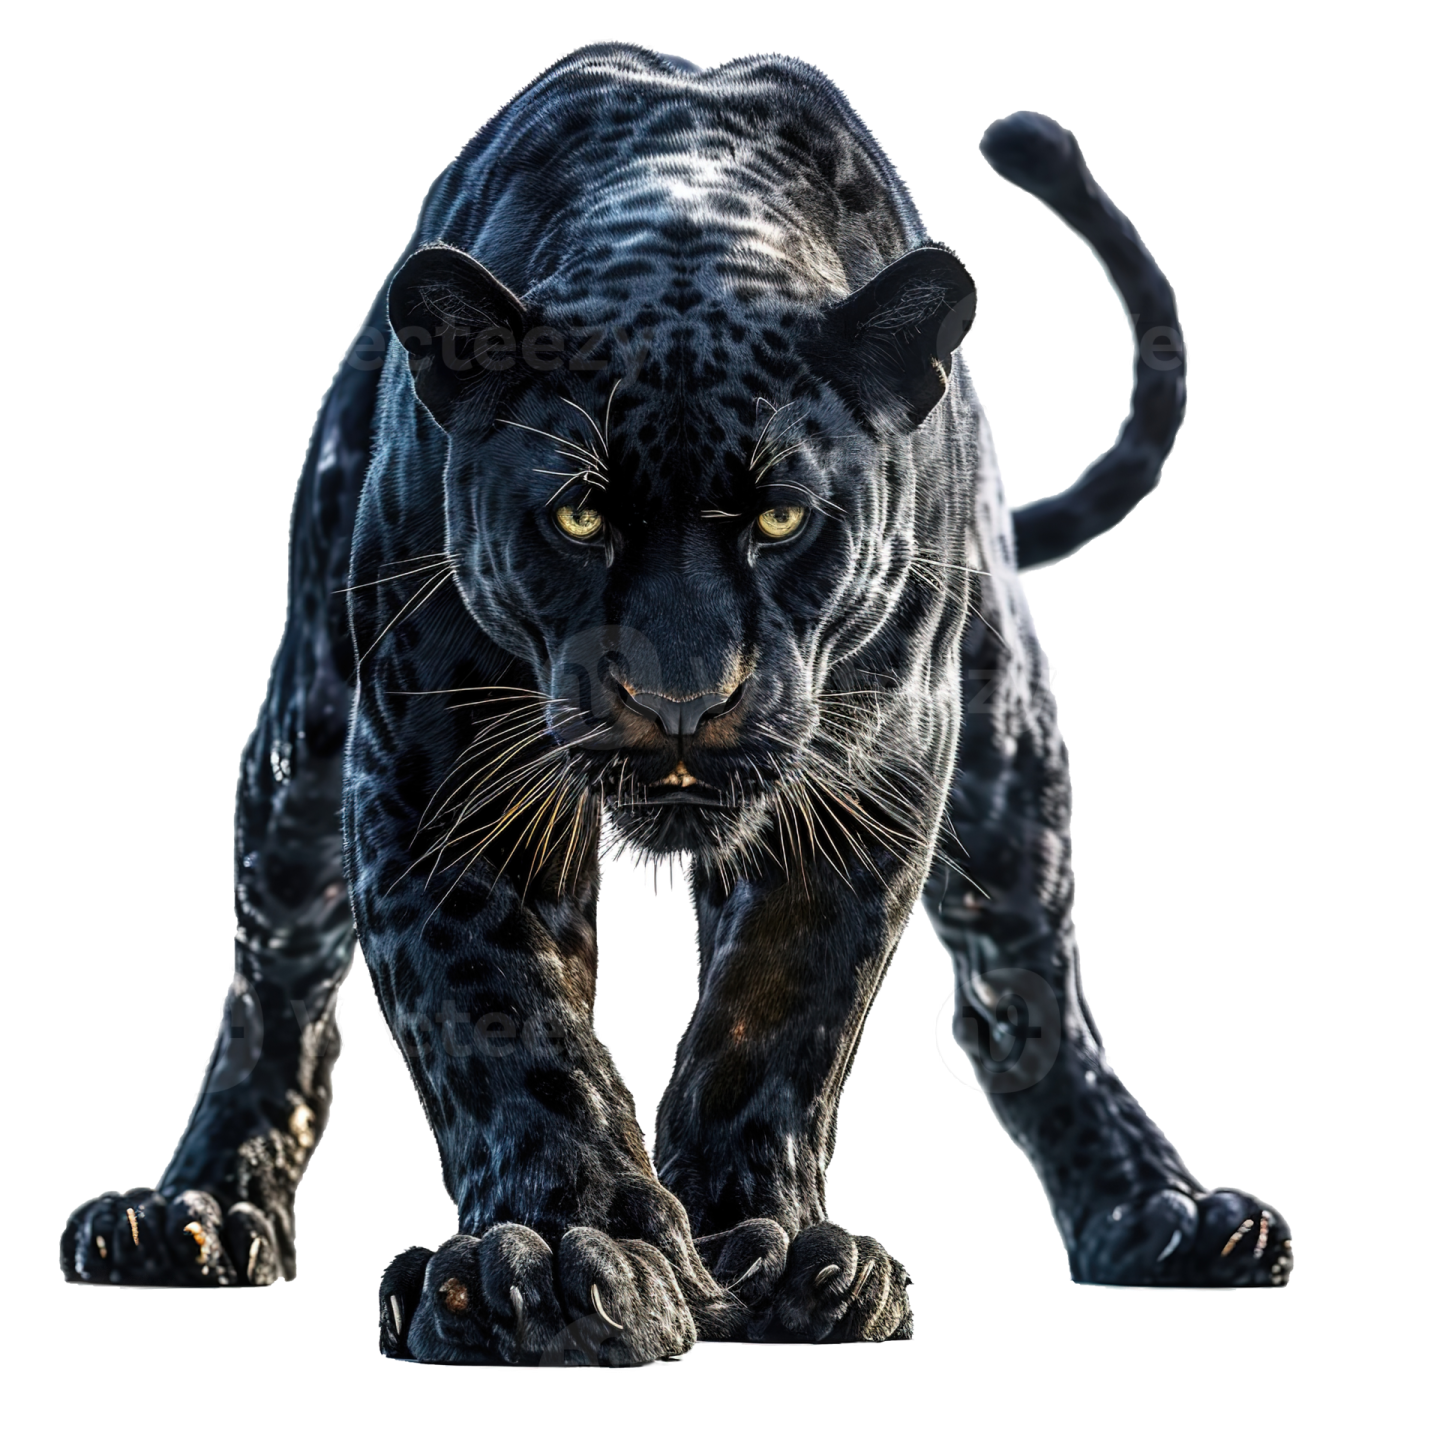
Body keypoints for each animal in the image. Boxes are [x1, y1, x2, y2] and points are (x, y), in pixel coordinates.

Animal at [60, 44, 1294, 1364]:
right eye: (578, 515)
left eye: (782, 516)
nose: (684, 698)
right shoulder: (440, 780)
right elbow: (504, 1020)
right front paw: (551, 1263)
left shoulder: (872, 784)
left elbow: (780, 1014)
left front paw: (774, 1254)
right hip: (306, 736)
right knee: (278, 988)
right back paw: (191, 1216)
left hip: (1006, 747)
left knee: (1028, 995)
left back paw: (1163, 1217)